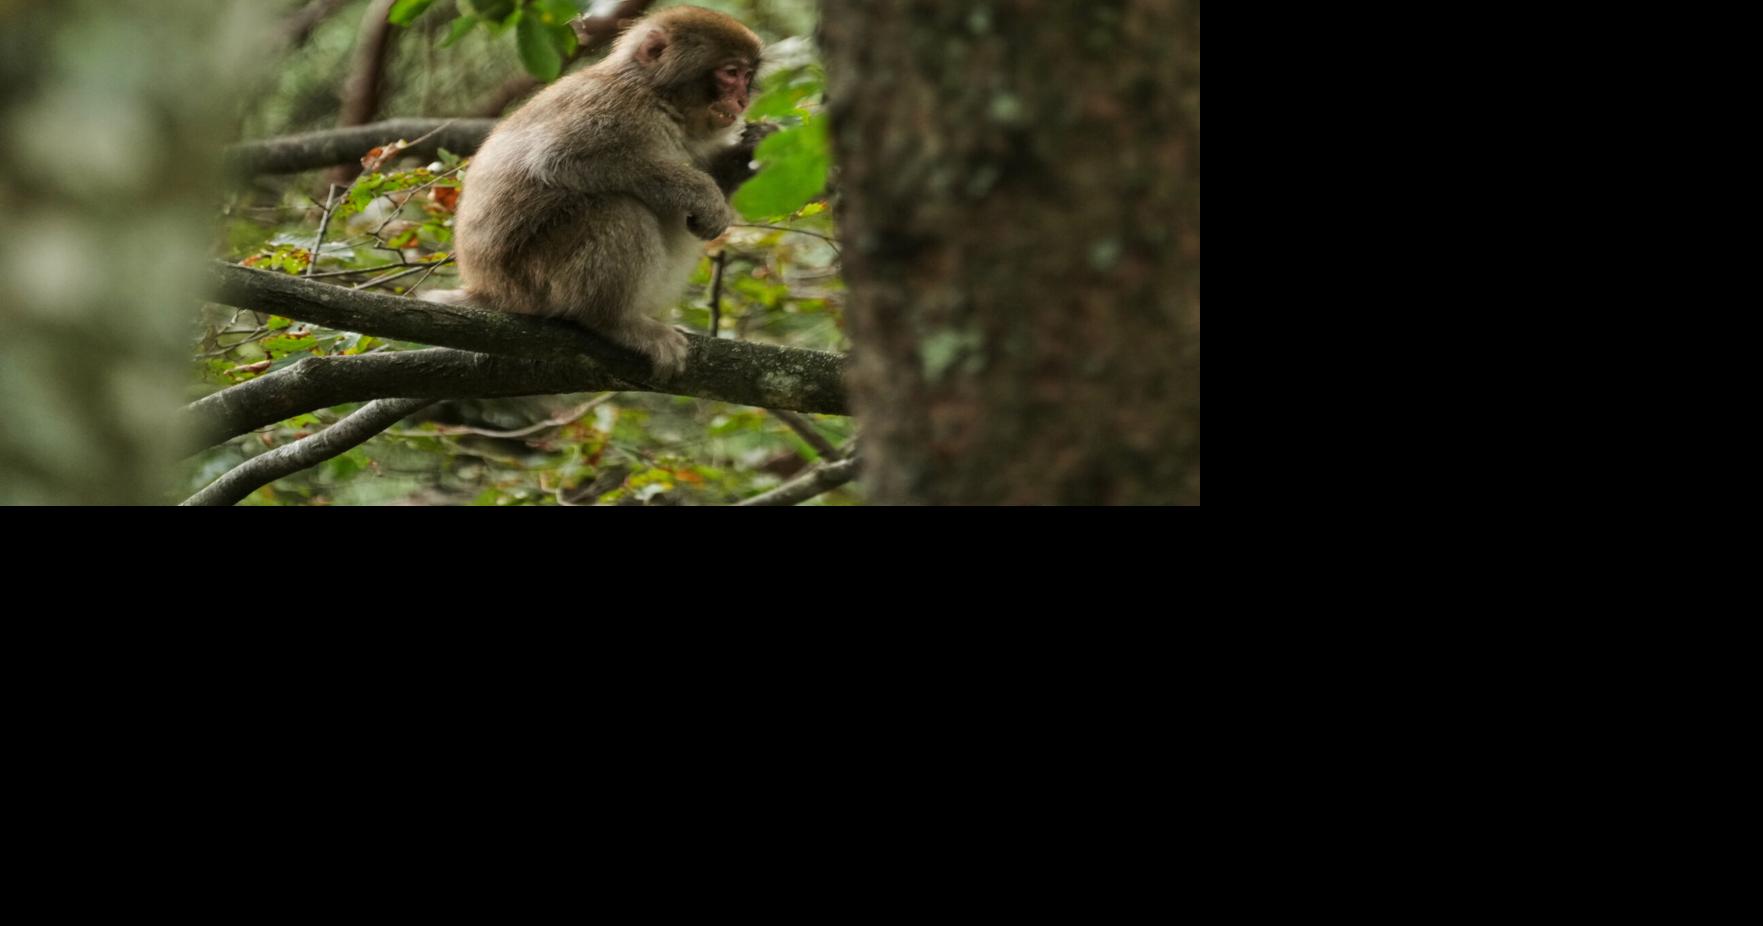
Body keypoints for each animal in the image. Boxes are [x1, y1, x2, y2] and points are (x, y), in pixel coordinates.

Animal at [426, 6, 766, 378]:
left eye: (747, 75)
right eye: (731, 73)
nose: (742, 99)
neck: (658, 95)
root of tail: (487, 289)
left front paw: (747, 153)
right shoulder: (618, 108)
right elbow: (559, 158)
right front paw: (704, 194)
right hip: (535, 281)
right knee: (620, 209)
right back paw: (615, 321)